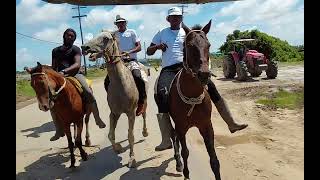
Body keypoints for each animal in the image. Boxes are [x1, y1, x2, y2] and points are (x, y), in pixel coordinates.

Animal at [169, 20, 221, 179]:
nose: (204, 74)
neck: (192, 97)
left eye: (208, 45)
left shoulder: (206, 126)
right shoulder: (181, 128)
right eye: (190, 45)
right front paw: (186, 173)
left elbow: (214, 160)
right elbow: (185, 152)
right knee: (173, 137)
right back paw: (178, 163)